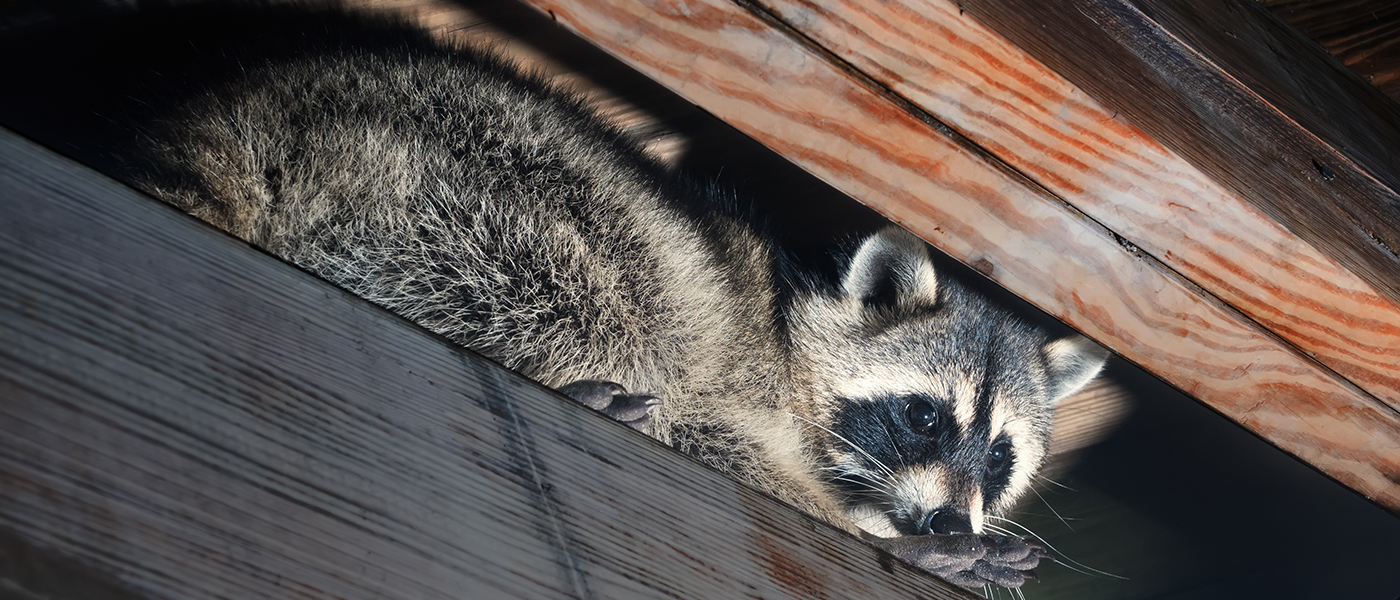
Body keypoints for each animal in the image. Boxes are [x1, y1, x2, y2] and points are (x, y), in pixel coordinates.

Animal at [0, 1, 1103, 590]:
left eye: (999, 456)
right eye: (922, 417)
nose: (947, 525)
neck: (791, 329)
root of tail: (249, 111)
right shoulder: (732, 379)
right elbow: (715, 437)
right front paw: (882, 537)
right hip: (472, 190)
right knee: (604, 292)